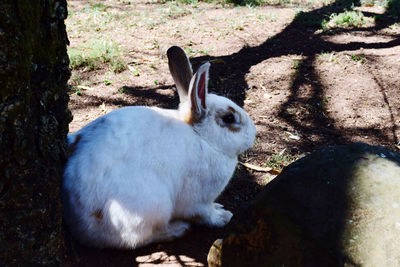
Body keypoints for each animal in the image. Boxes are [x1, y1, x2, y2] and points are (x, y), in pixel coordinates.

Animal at [62, 46, 256, 249]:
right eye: (229, 118)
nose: (254, 133)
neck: (201, 137)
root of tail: (77, 224)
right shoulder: (198, 201)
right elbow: (205, 215)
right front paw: (223, 216)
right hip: (152, 207)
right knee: (140, 237)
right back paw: (177, 229)